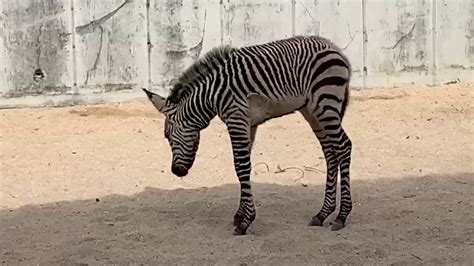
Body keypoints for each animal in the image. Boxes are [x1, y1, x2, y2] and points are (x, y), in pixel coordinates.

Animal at [143, 34, 354, 235]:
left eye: (167, 136)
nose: (176, 171)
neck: (211, 96)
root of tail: (334, 48)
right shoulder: (248, 124)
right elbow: (243, 168)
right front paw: (240, 215)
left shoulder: (236, 119)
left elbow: (241, 166)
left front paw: (246, 222)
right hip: (312, 111)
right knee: (330, 153)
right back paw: (323, 214)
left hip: (325, 103)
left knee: (343, 146)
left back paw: (342, 216)